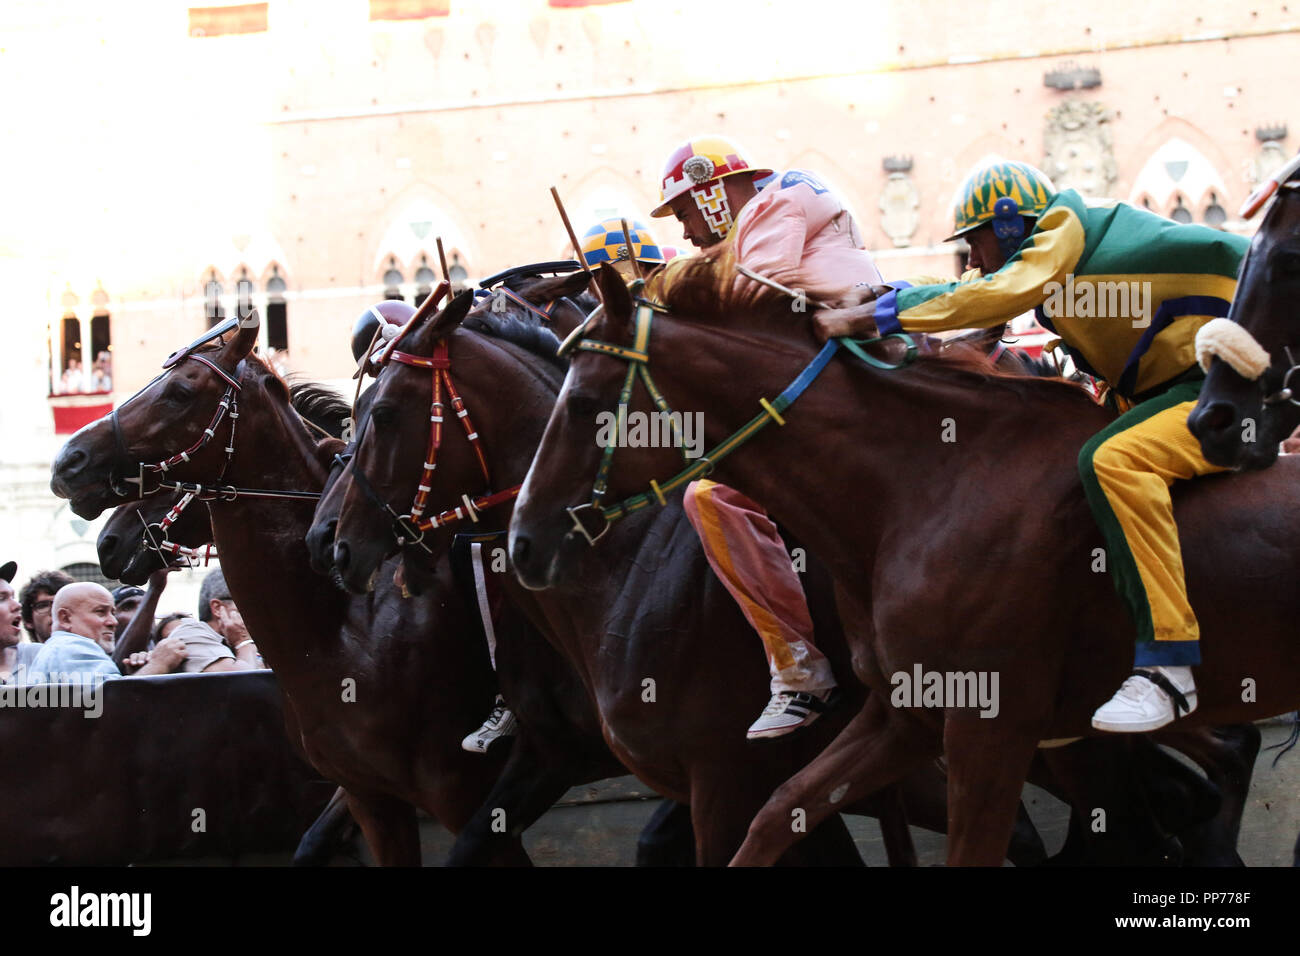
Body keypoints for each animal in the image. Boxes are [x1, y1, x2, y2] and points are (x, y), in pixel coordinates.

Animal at [506, 256, 1300, 868]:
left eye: (584, 402)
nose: (522, 542)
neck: (927, 487)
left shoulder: (989, 726)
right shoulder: (904, 716)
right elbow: (777, 818)